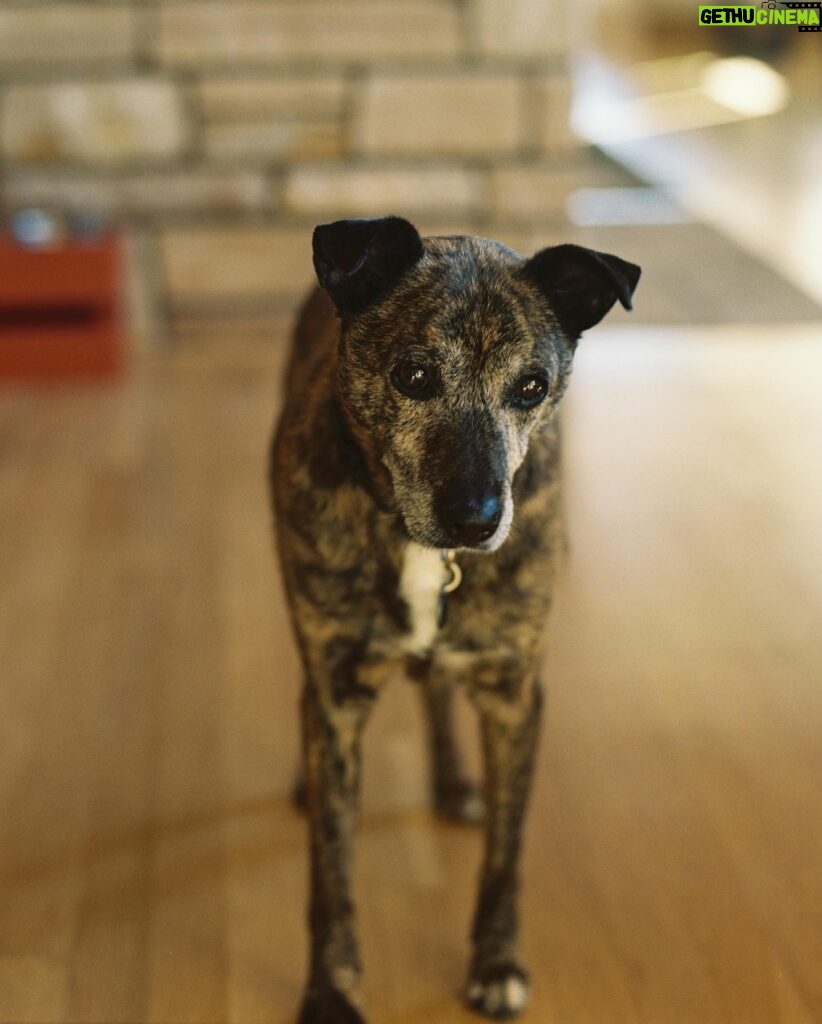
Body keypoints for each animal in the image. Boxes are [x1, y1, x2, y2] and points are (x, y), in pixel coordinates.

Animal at [272, 218, 642, 1024]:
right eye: (413, 376)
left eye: (532, 387)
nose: (476, 520)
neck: (420, 546)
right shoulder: (337, 693)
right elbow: (330, 868)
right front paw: (330, 990)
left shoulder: (514, 695)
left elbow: (506, 852)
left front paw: (497, 962)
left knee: (437, 689)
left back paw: (451, 780)